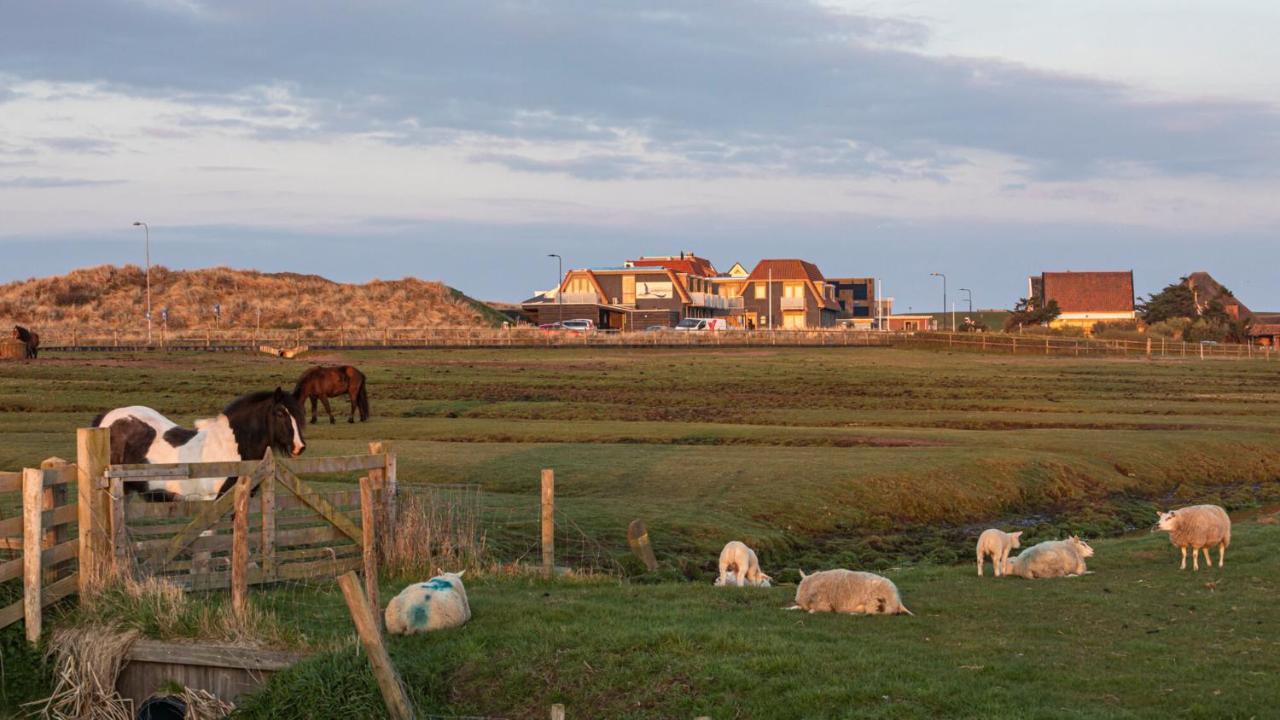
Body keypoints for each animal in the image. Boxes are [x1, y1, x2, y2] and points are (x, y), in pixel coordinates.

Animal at [92, 386, 307, 499]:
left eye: (298, 414)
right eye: (280, 413)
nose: (299, 447)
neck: (229, 446)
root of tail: (106, 419)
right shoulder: (210, 498)